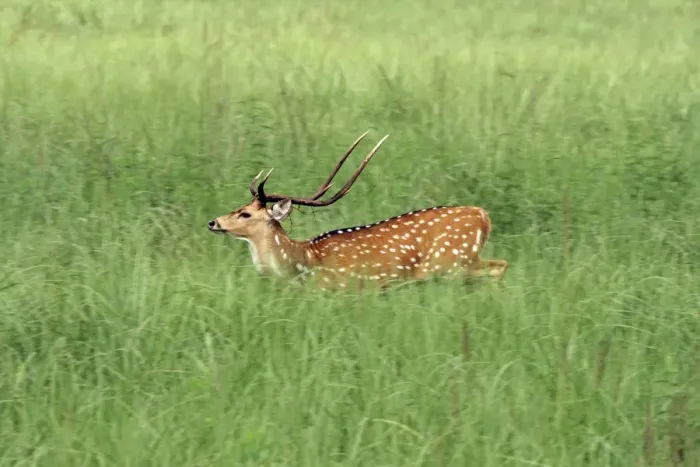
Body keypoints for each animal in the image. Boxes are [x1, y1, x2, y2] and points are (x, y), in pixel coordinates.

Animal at [207, 131, 508, 290]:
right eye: (240, 206)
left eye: (245, 214)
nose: (213, 222)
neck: (300, 265)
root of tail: (483, 216)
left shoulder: (341, 289)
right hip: (464, 261)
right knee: (500, 264)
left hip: (448, 264)